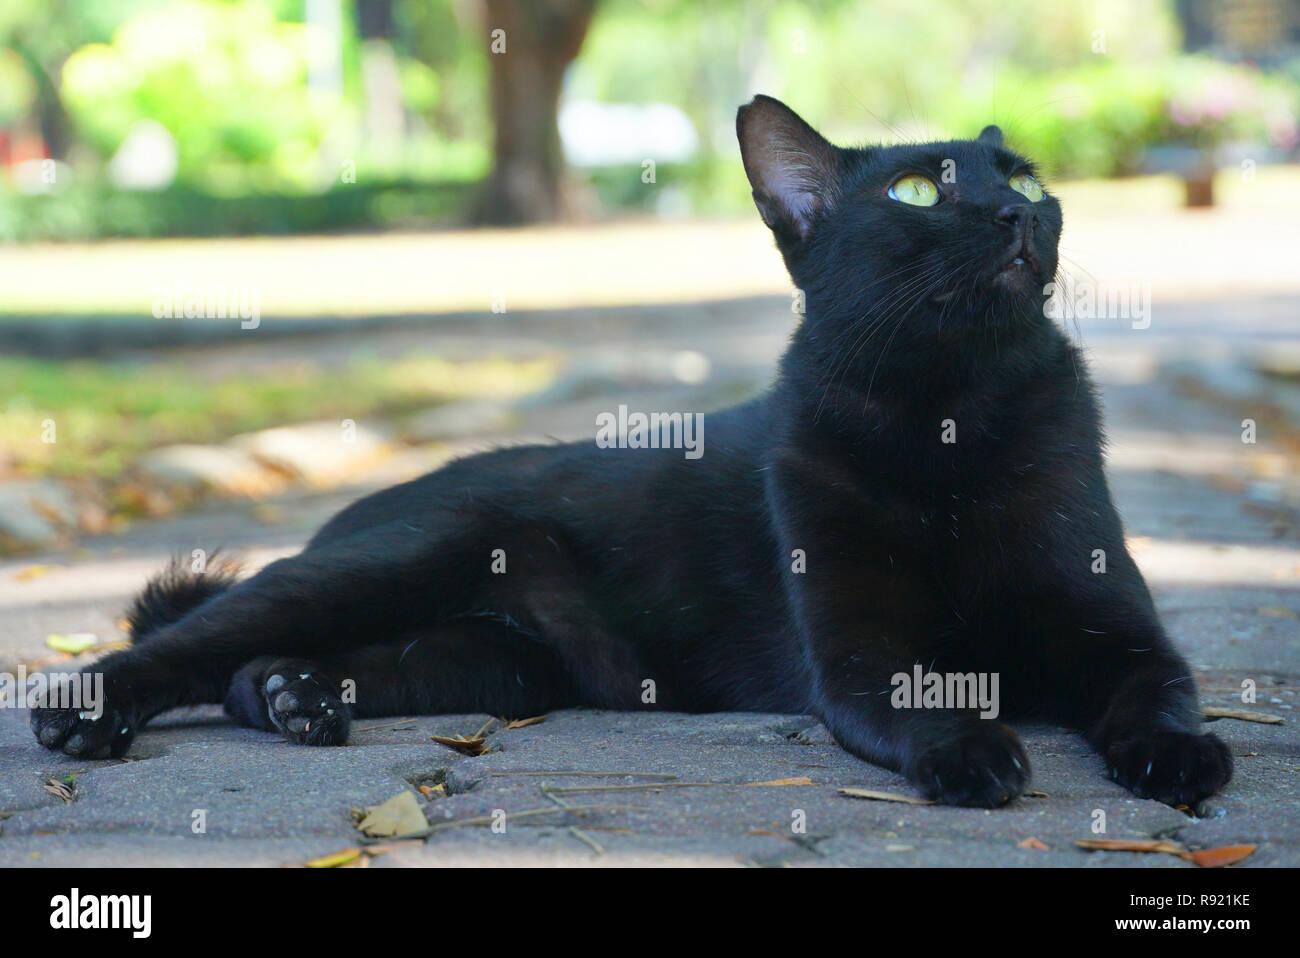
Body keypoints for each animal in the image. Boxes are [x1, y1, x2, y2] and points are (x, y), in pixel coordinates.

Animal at [30, 97, 1227, 805]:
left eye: (1022, 176)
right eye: (919, 189)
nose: (1018, 212)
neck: (953, 423)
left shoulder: (1115, 628)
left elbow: (1162, 690)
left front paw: (1178, 756)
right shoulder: (857, 650)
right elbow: (925, 691)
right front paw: (973, 749)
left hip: (487, 661)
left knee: (264, 668)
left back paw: (296, 699)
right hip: (389, 563)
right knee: (188, 639)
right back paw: (87, 713)